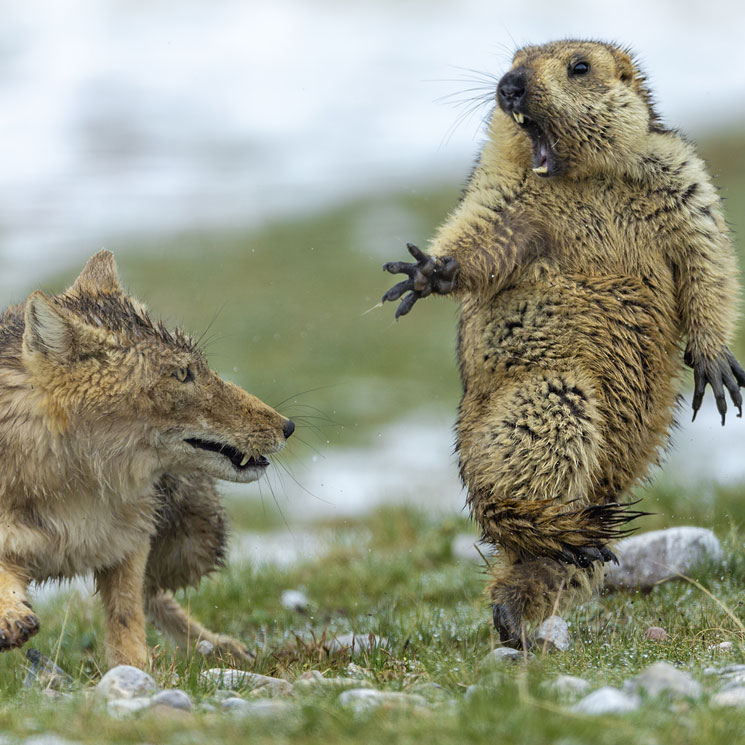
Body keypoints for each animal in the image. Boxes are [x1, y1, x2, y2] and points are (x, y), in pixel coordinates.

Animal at [0, 251, 294, 668]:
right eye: (183, 374)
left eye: (200, 367)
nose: (288, 426)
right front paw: (11, 615)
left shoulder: (130, 540)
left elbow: (127, 612)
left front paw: (134, 668)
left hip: (195, 542)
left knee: (155, 595)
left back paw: (219, 646)